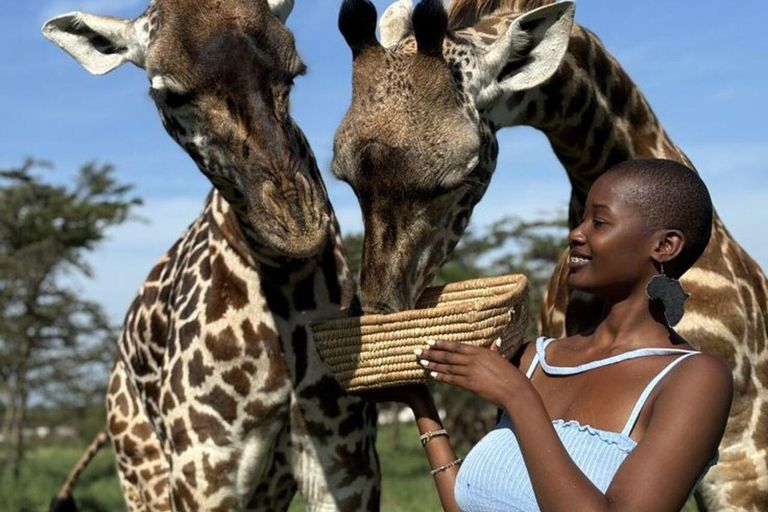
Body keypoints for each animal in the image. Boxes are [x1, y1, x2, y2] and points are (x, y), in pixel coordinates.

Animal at [43, 1, 380, 510]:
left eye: (295, 70)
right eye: (169, 94)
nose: (296, 225)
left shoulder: (347, 460)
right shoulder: (203, 467)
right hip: (145, 477)